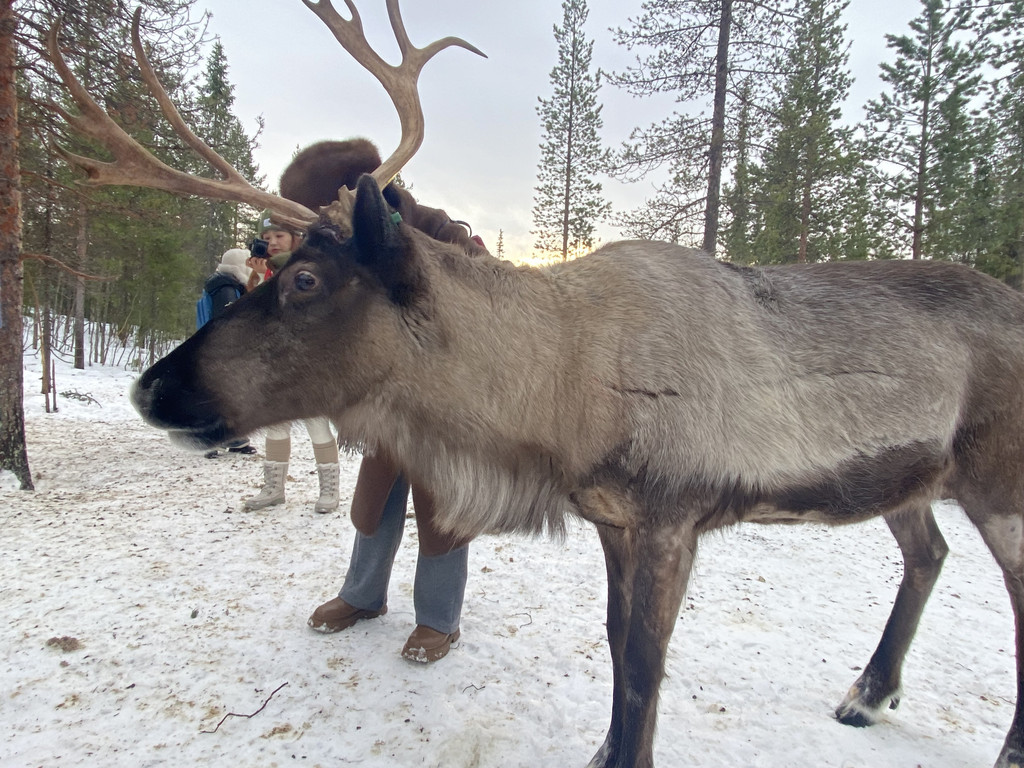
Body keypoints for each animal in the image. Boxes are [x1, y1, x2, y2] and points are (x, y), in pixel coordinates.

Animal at [46, 3, 1024, 768]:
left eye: (306, 282)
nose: (151, 390)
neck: (556, 397)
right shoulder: (613, 520)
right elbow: (618, 653)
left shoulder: (670, 515)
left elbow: (643, 670)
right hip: (912, 477)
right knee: (929, 553)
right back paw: (867, 692)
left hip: (1000, 480)